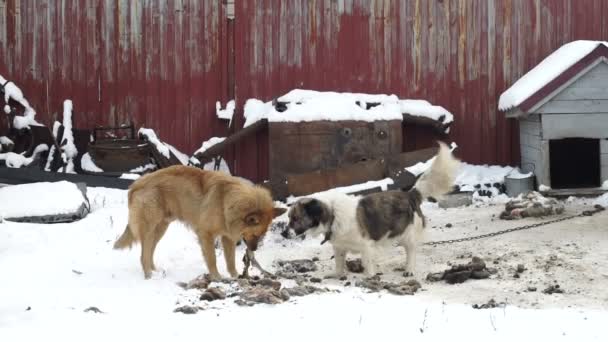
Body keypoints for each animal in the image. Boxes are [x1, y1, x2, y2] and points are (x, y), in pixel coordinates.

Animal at [113, 166, 284, 280]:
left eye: (262, 235)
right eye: (255, 234)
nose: (254, 249)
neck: (226, 201)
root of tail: (135, 185)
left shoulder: (227, 238)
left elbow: (231, 261)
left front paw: (235, 276)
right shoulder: (206, 234)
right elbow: (212, 259)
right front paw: (217, 277)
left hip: (160, 229)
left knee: (149, 252)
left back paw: (155, 271)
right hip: (149, 229)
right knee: (143, 255)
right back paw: (149, 276)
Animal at [288, 142, 458, 278]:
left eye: (295, 218)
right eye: (290, 218)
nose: (284, 233)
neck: (333, 216)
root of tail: (409, 194)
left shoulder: (366, 246)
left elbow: (368, 266)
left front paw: (369, 278)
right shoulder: (339, 247)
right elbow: (339, 264)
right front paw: (337, 275)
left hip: (407, 235)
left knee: (411, 251)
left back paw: (409, 269)